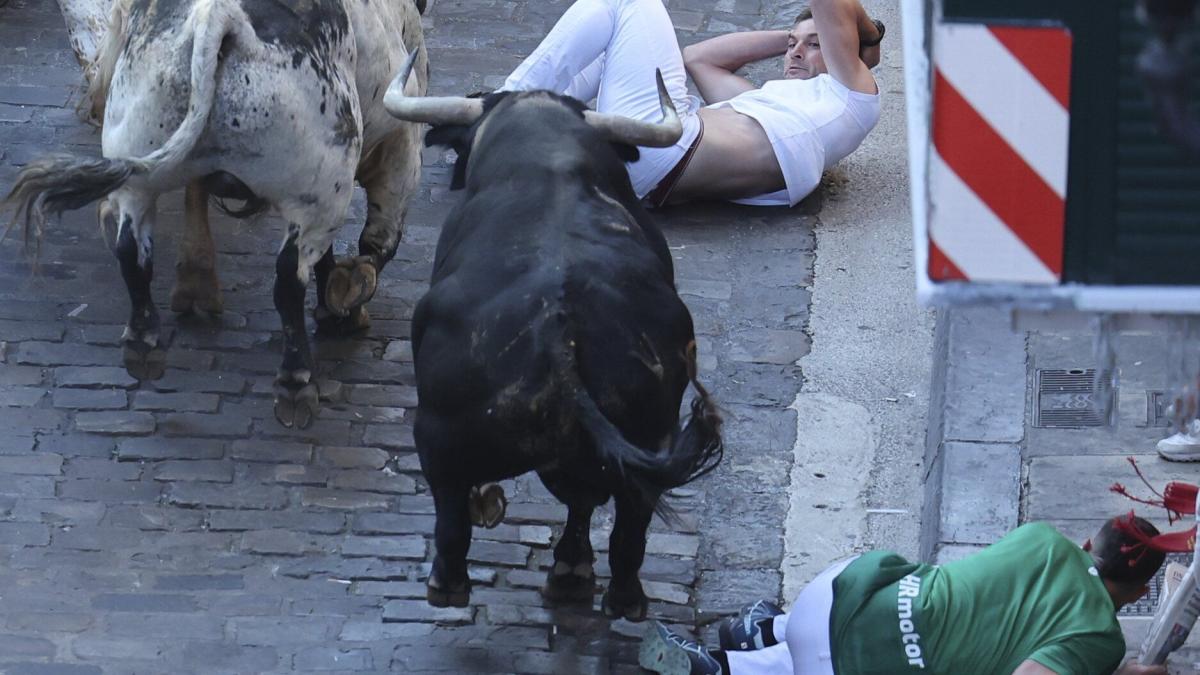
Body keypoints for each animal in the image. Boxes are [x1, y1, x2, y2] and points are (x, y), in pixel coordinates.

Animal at [2, 0, 427, 425]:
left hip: (136, 167)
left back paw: (143, 341)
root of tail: (220, 16)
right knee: (289, 279)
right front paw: (347, 301)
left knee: (131, 249)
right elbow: (379, 238)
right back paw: (295, 381)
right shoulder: (401, 144)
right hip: (319, 189)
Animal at [386, 63, 720, 619]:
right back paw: (606, 590)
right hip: (651, 433)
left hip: (436, 435)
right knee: (625, 524)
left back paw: (448, 585)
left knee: (452, 515)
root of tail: (560, 332)